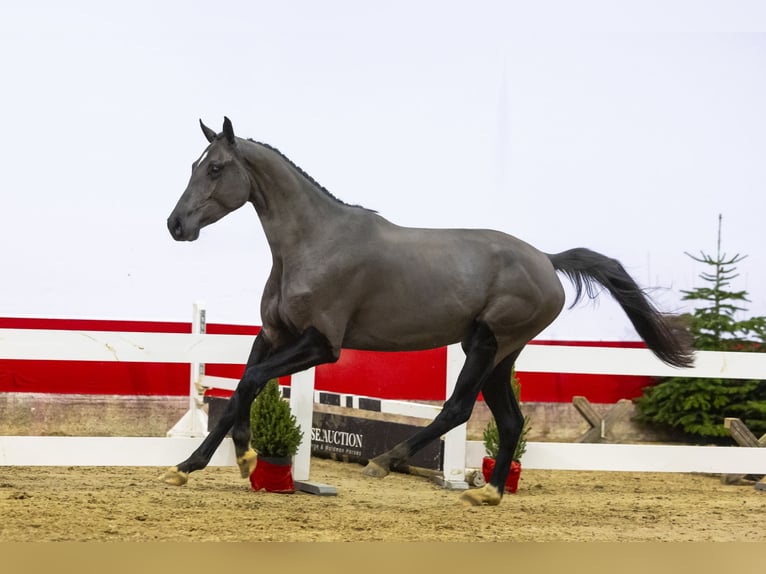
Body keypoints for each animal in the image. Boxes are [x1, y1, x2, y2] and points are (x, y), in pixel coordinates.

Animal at [164, 118, 696, 508]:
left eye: (216, 168)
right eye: (194, 164)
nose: (176, 225)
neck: (314, 243)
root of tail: (547, 260)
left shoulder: (320, 344)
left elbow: (250, 383)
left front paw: (227, 459)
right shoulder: (274, 334)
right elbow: (241, 387)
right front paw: (214, 462)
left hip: (487, 344)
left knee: (457, 408)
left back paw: (387, 463)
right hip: (500, 354)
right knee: (511, 420)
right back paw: (491, 494)